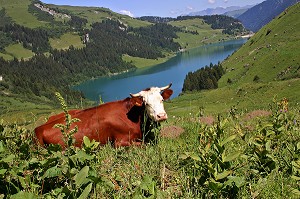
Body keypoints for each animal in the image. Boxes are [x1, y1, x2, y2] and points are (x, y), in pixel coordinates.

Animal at [33, 83, 172, 147]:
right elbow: (146, 144)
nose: (161, 116)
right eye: (146, 103)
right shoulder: (119, 142)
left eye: (162, 100)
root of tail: (38, 129)